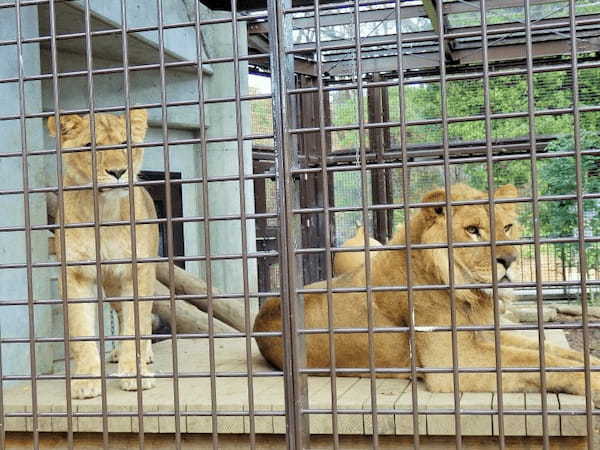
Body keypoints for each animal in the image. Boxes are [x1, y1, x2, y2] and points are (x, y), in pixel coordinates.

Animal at [48, 110, 158, 400]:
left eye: (125, 143)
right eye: (90, 146)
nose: (118, 172)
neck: (103, 210)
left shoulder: (137, 270)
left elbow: (136, 323)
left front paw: (135, 374)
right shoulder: (75, 274)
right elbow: (81, 330)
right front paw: (87, 380)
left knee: (144, 317)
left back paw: (147, 355)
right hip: (112, 286)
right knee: (120, 314)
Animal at [253, 183, 600, 398]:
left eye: (507, 227)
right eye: (472, 230)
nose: (510, 261)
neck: (469, 296)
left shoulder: (487, 336)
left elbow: (554, 352)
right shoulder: (457, 362)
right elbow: (540, 363)